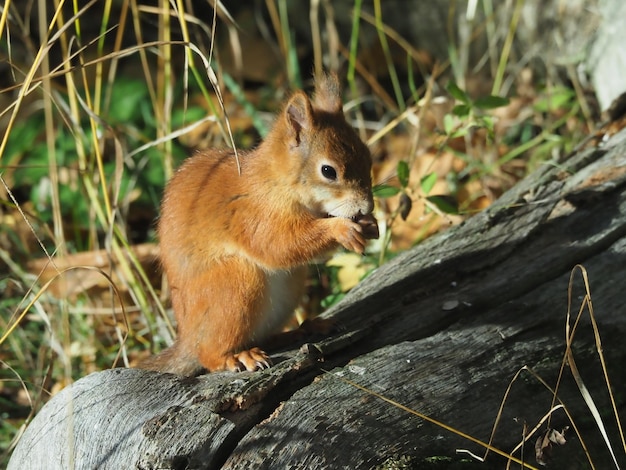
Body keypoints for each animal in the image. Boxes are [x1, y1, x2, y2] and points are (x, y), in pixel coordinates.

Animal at [138, 72, 376, 374]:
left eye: (368, 156)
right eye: (328, 171)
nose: (367, 206)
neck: (275, 181)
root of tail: (188, 338)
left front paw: (371, 224)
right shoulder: (252, 214)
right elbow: (278, 244)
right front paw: (342, 229)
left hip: (289, 288)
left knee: (265, 337)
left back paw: (306, 328)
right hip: (235, 284)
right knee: (209, 354)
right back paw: (236, 357)